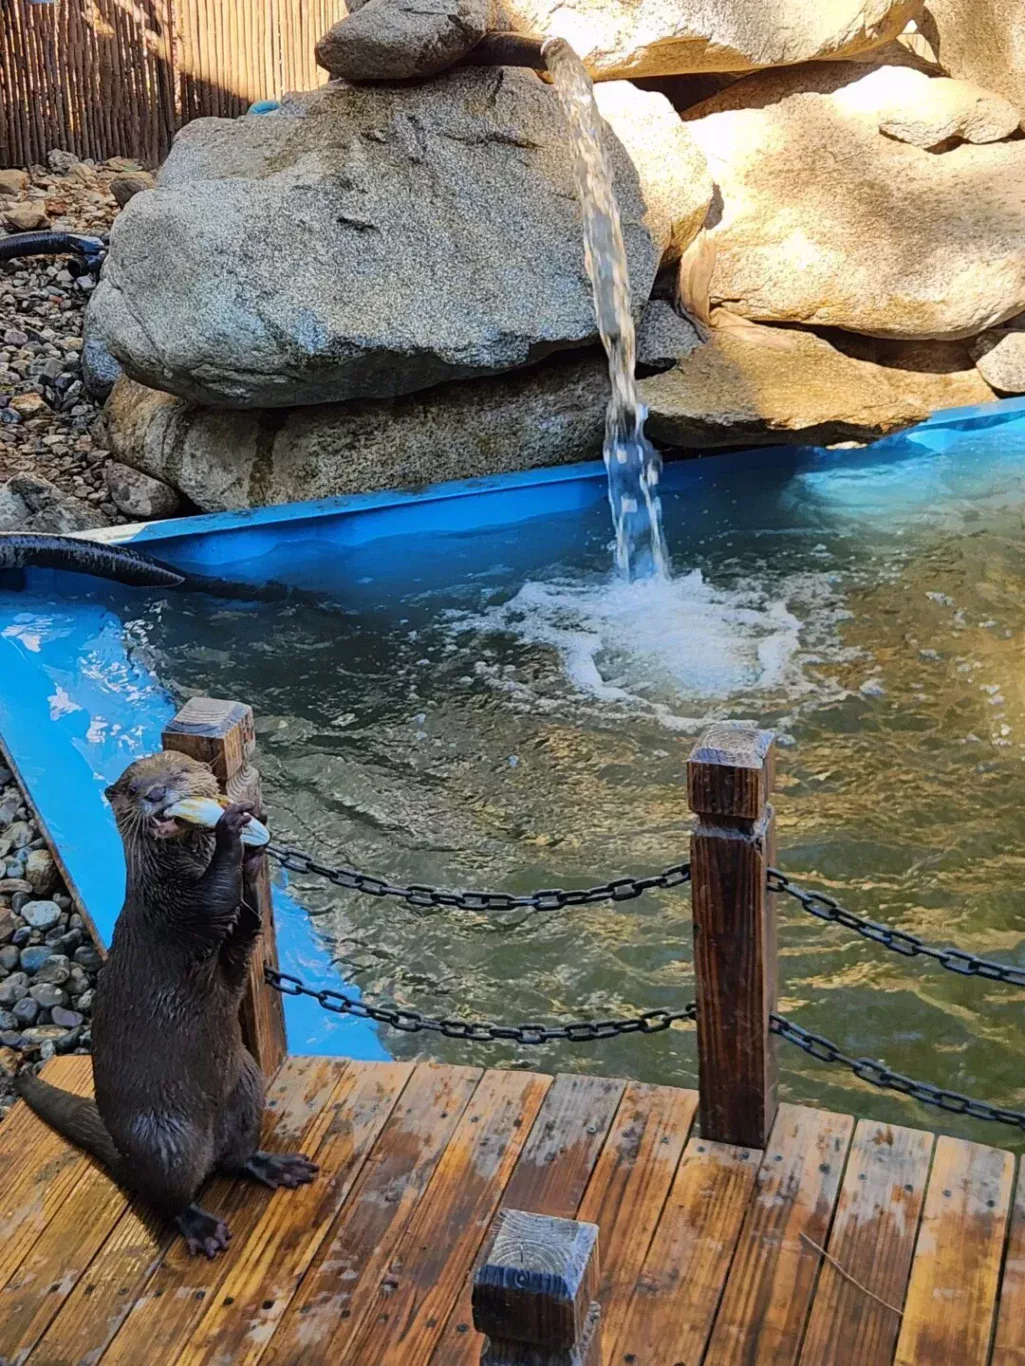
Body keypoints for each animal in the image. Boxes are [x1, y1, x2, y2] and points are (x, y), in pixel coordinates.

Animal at [15, 749, 317, 1257]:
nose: (158, 795)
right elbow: (216, 896)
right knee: (169, 1197)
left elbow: (247, 923)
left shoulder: (228, 938)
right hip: (164, 1141)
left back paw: (275, 1166)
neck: (170, 877)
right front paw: (230, 830)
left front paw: (255, 846)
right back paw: (202, 1228)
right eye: (136, 789)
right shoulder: (175, 911)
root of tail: (126, 1151)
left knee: (237, 1158)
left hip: (247, 1089)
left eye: (176, 775)